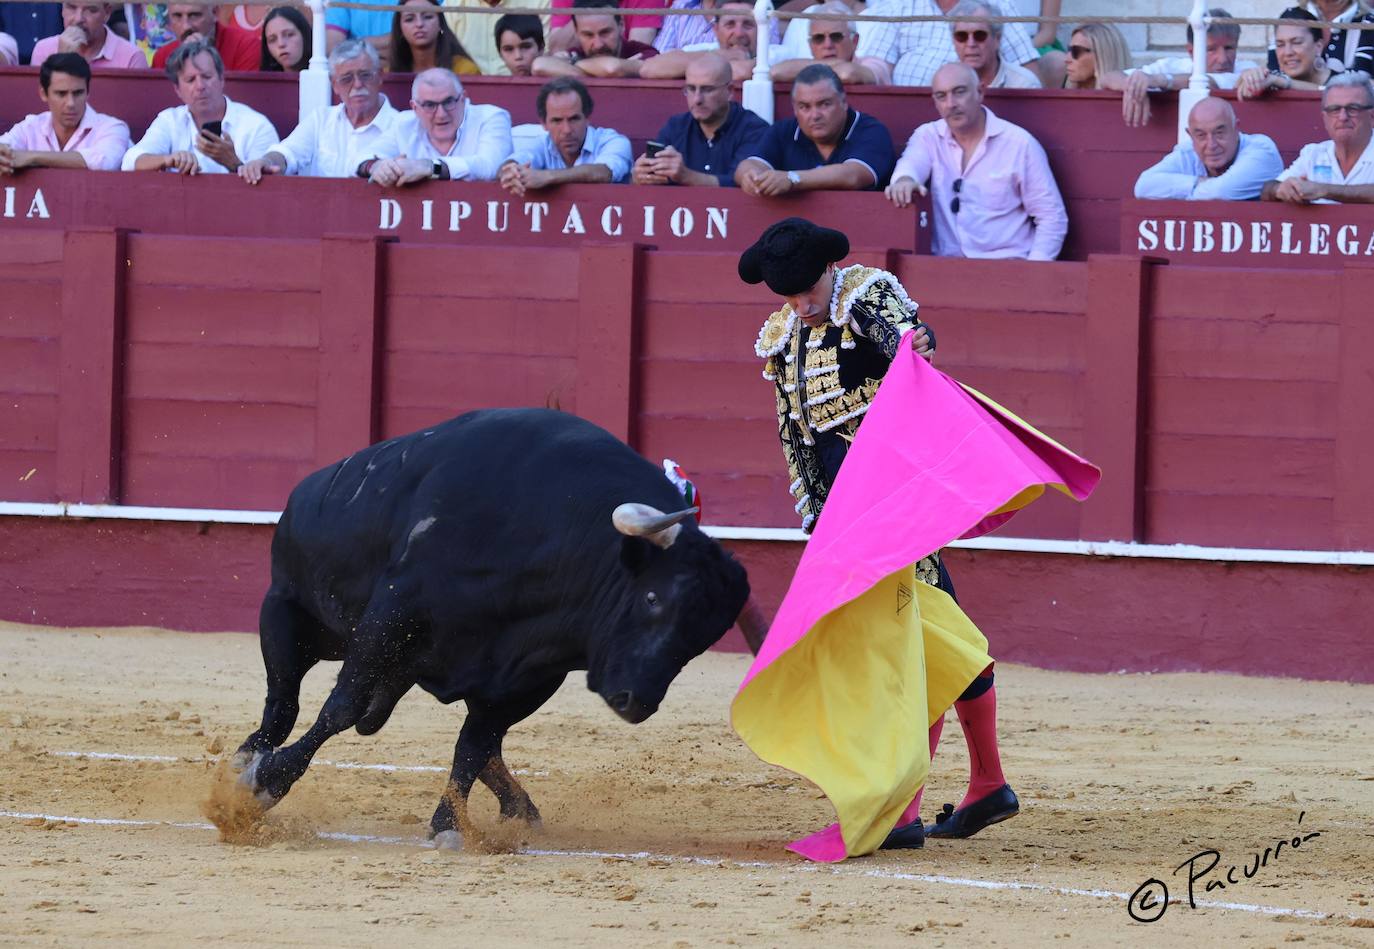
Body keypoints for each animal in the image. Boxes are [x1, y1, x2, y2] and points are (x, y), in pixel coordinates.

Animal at [233, 409, 752, 845]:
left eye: (701, 641)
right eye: (651, 598)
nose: (636, 702)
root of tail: (306, 493)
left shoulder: (528, 676)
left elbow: (474, 744)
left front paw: (450, 825)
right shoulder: (389, 619)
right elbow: (340, 708)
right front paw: (266, 784)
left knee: (479, 745)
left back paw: (521, 809)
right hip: (287, 615)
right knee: (283, 703)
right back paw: (246, 760)